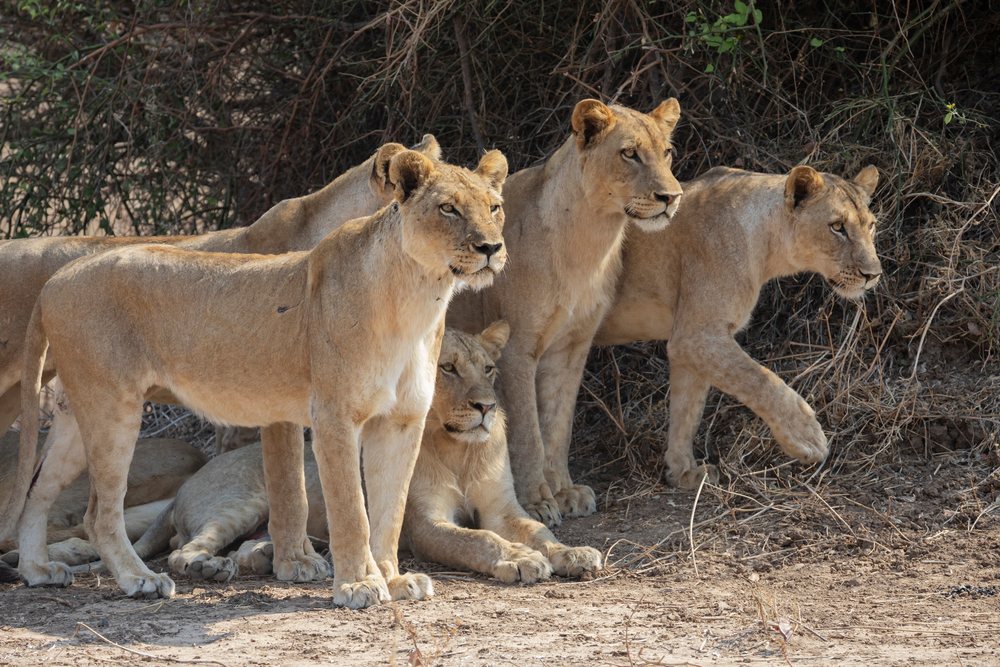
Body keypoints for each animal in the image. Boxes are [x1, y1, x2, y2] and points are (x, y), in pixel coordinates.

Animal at [5, 148, 508, 608]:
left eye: (494, 207)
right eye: (448, 208)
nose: (491, 248)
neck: (419, 295)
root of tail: (56, 279)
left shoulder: (402, 421)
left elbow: (391, 509)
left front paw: (393, 578)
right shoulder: (334, 416)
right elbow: (352, 509)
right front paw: (358, 585)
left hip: (77, 414)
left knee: (37, 494)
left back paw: (38, 570)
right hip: (113, 408)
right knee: (97, 513)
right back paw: (139, 580)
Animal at [447, 99, 683, 527]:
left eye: (667, 152)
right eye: (629, 154)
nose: (672, 197)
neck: (590, 240)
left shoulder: (572, 347)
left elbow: (558, 426)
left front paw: (564, 491)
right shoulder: (517, 349)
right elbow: (528, 432)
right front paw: (537, 501)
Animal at [594, 165, 882, 488]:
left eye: (871, 226)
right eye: (837, 227)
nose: (873, 274)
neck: (767, 248)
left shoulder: (689, 338)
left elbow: (687, 409)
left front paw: (684, 472)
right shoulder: (697, 336)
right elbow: (759, 379)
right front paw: (806, 437)